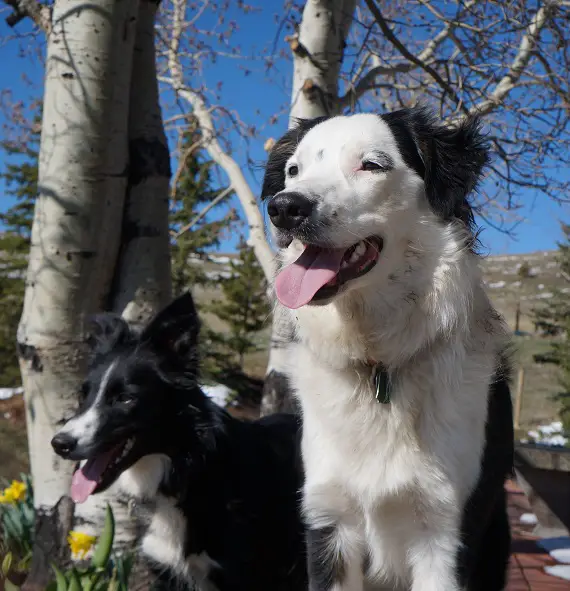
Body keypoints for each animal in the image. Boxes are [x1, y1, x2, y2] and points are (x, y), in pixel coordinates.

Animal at [262, 106, 516, 591]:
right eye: (293, 171)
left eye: (371, 165)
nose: (284, 207)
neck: (379, 361)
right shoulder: (328, 522)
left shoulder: (446, 533)